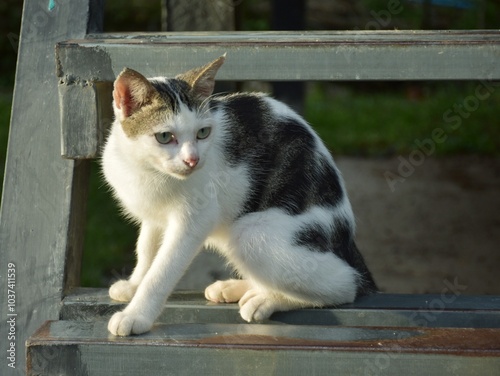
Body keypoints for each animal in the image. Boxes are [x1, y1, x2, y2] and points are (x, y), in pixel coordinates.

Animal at [102, 55, 376, 334]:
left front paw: (136, 314)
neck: (147, 169)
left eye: (203, 133)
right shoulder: (153, 215)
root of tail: (348, 245)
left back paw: (266, 299)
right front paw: (134, 284)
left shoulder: (195, 219)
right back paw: (235, 288)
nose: (193, 160)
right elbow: (146, 249)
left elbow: (162, 270)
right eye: (165, 137)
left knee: (346, 285)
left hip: (252, 234)